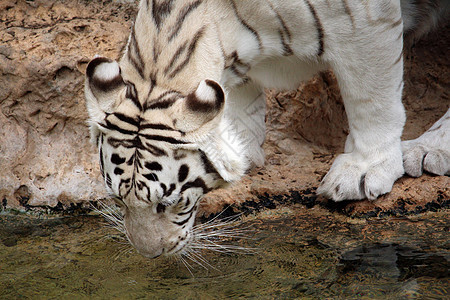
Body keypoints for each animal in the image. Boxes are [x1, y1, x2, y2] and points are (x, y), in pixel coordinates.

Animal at [85, 0, 450, 258]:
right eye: (118, 200)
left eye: (169, 202)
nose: (151, 255)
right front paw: (242, 152)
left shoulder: (364, 21)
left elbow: (370, 96)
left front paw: (362, 172)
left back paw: (427, 149)